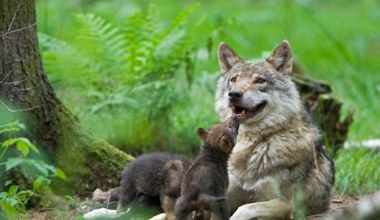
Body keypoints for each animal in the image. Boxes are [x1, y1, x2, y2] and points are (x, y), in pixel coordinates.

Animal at [217, 40, 336, 219]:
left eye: (260, 81)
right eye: (234, 79)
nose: (234, 94)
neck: (252, 144)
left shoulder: (285, 204)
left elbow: (244, 209)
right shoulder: (228, 192)